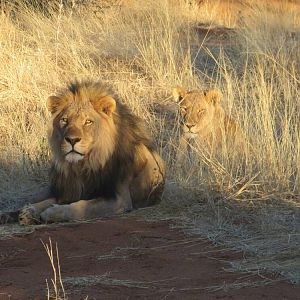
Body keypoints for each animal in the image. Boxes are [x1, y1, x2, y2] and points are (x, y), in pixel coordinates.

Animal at [1, 79, 165, 225]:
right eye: (64, 120)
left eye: (88, 122)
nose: (72, 140)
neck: (85, 165)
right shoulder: (69, 190)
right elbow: (48, 201)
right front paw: (30, 211)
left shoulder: (119, 199)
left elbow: (81, 206)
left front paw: (52, 212)